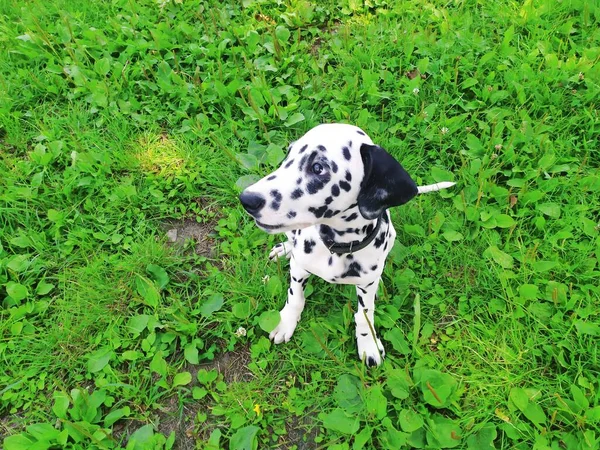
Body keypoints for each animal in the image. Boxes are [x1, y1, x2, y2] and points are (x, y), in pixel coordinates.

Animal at [239, 123, 454, 366]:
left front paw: (368, 344)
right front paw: (286, 322)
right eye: (287, 157)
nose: (246, 199)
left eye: (318, 167)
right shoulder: (300, 268)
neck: (337, 247)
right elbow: (295, 296)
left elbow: (365, 315)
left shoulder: (366, 285)